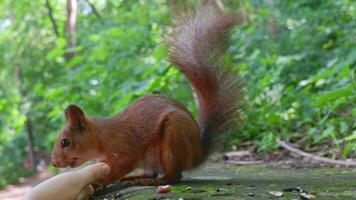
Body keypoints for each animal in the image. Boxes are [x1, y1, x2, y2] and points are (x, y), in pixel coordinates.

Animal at [50, 1, 245, 185]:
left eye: (65, 142)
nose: (54, 162)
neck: (102, 137)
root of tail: (196, 155)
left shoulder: (123, 149)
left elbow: (120, 166)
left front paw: (100, 181)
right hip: (153, 159)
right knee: (153, 172)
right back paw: (136, 178)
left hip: (173, 139)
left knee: (175, 176)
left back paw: (156, 181)